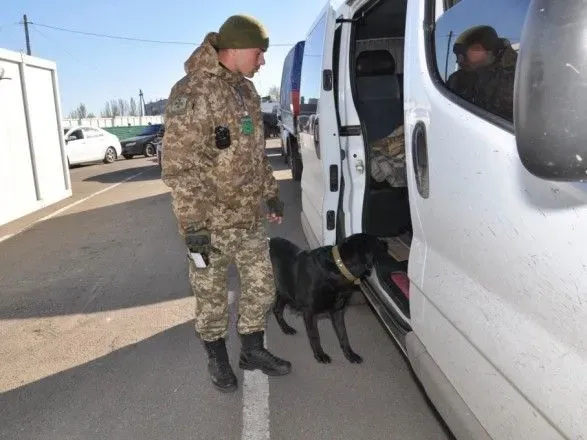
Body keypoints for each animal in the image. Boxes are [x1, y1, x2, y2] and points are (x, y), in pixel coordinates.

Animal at [270, 234, 388, 364]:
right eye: (377, 242)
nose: (387, 243)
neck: (338, 269)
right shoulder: (309, 312)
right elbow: (315, 335)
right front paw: (320, 354)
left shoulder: (337, 312)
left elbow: (343, 335)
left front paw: (350, 354)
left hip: (284, 291)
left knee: (277, 309)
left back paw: (286, 328)